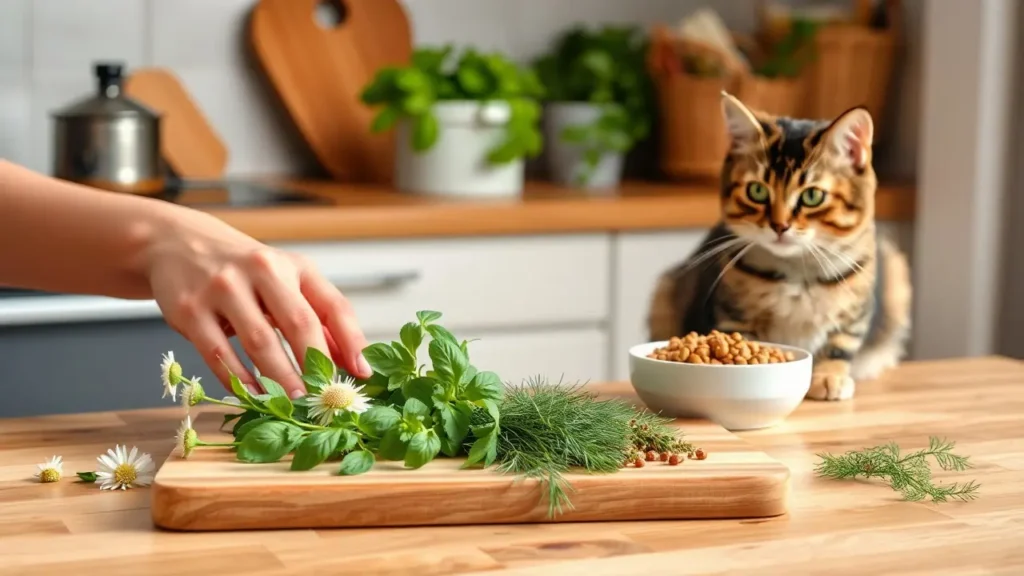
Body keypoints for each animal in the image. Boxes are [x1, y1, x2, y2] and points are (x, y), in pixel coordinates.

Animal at [647, 94, 913, 399]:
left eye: (812, 196)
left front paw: (829, 377)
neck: (797, 271)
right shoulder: (733, 314)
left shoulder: (856, 309)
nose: (779, 225)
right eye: (757, 191)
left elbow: (841, 344)